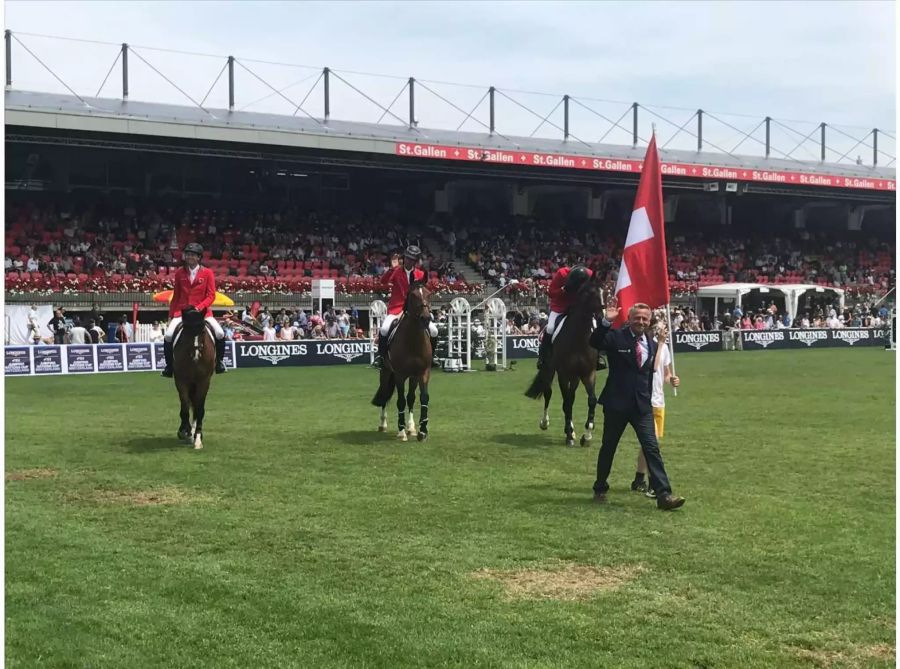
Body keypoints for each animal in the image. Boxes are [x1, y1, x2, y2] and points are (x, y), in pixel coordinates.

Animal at [171, 308, 215, 448]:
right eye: (186, 331)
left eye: (202, 331)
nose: (196, 355)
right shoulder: (181, 381)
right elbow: (185, 407)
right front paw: (186, 432)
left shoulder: (204, 381)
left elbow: (199, 409)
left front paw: (198, 437)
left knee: (196, 406)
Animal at [370, 284, 432, 440]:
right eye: (413, 295)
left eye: (429, 294)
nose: (426, 318)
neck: (413, 340)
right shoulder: (399, 375)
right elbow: (400, 401)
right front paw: (401, 431)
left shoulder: (422, 373)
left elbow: (422, 398)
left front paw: (422, 431)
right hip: (386, 372)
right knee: (385, 394)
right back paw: (383, 424)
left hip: (412, 377)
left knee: (410, 398)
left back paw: (411, 427)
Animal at [520, 280, 604, 446]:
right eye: (590, 293)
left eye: (604, 291)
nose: (602, 316)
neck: (578, 337)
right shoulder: (563, 374)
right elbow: (566, 402)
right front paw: (570, 435)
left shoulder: (588, 373)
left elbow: (591, 400)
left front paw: (587, 435)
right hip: (550, 370)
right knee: (549, 393)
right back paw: (545, 423)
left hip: (576, 376)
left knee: (571, 397)